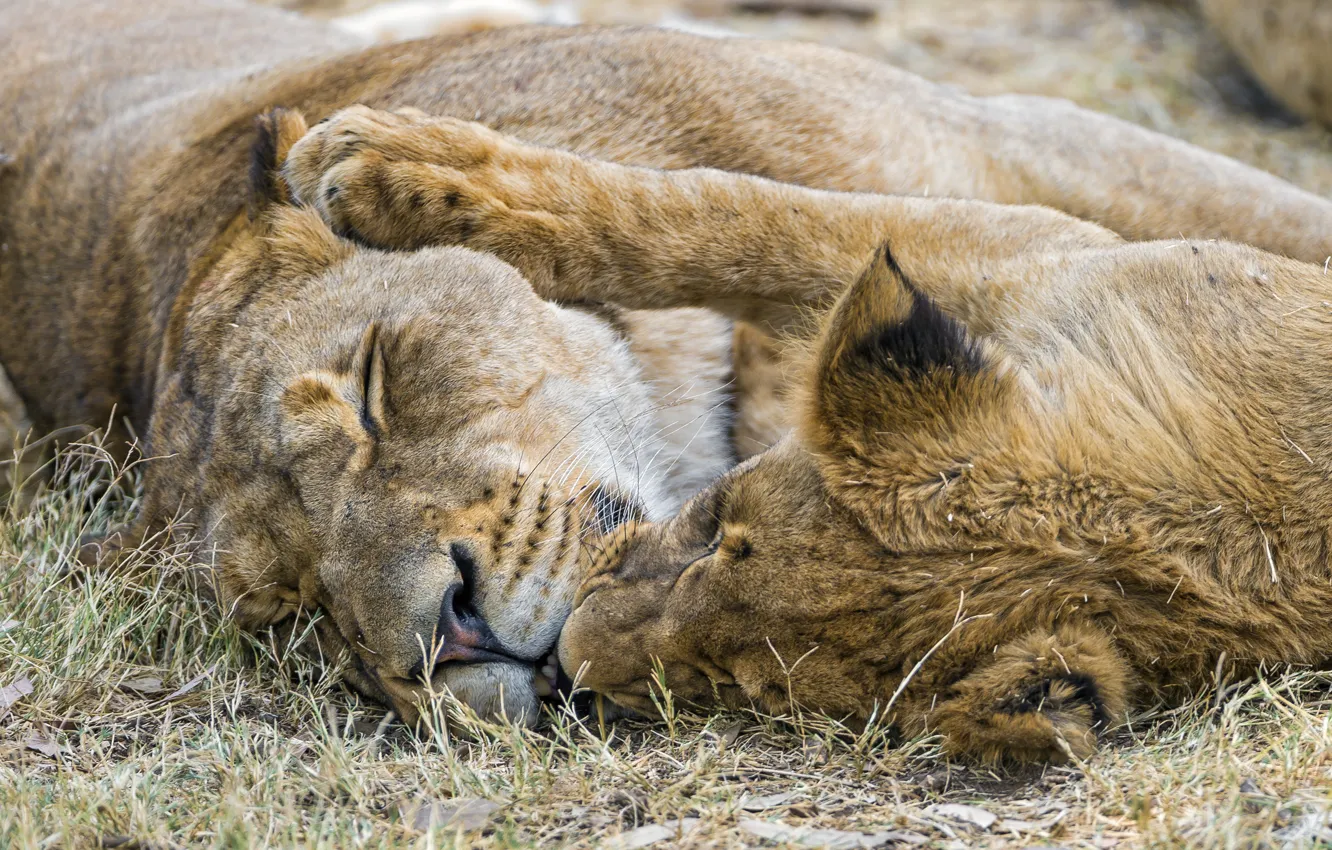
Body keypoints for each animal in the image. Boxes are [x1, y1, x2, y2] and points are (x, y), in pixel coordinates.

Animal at [5, 0, 1332, 728]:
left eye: (378, 385)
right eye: (291, 613)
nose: (446, 636)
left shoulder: (1023, 142)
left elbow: (718, 206)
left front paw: (421, 170)